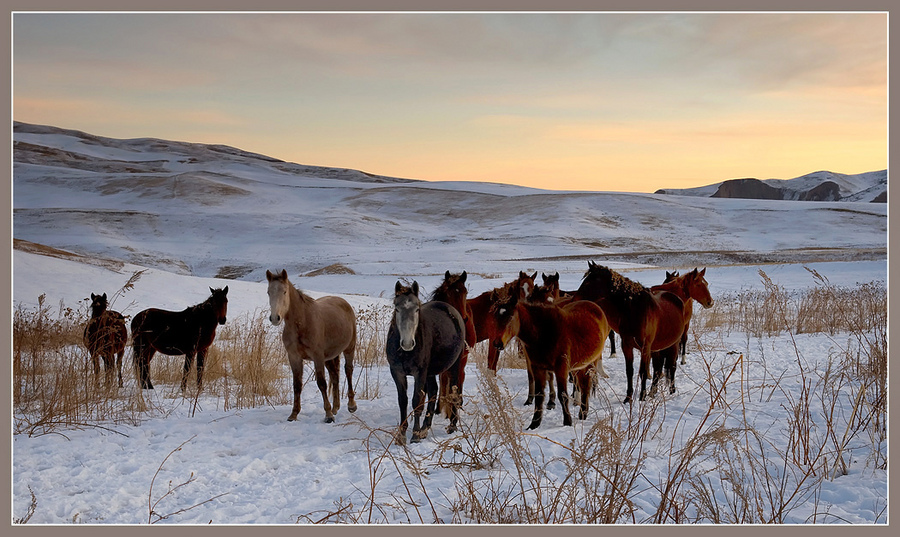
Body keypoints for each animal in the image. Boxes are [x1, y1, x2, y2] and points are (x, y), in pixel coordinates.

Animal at [264, 268, 356, 422]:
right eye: (269, 292)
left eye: (284, 291)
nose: (275, 318)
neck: (303, 322)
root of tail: (343, 302)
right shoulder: (294, 357)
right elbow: (297, 385)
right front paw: (294, 414)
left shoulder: (317, 357)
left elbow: (321, 383)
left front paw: (328, 415)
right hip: (329, 357)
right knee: (335, 376)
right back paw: (336, 407)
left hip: (349, 348)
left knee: (348, 371)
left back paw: (351, 405)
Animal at [384, 280, 464, 444]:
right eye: (397, 309)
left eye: (416, 309)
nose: (407, 343)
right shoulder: (397, 372)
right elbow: (403, 401)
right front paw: (401, 435)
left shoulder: (419, 373)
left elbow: (417, 402)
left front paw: (414, 435)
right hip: (431, 372)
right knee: (433, 392)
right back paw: (425, 428)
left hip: (454, 364)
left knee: (454, 391)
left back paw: (452, 425)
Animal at [492, 286, 612, 430]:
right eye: (494, 318)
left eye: (510, 317)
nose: (497, 344)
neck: (544, 333)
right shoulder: (537, 368)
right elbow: (539, 395)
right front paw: (534, 423)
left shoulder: (561, 368)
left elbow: (563, 395)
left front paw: (567, 422)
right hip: (579, 365)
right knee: (583, 384)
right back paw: (582, 412)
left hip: (589, 363)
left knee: (586, 385)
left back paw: (583, 413)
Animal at [572, 262, 684, 404]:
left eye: (588, 281)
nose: (574, 299)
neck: (635, 310)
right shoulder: (627, 346)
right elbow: (629, 371)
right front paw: (628, 398)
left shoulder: (645, 348)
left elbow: (643, 372)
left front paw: (641, 397)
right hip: (656, 348)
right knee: (658, 369)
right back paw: (652, 392)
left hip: (673, 344)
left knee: (672, 366)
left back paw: (671, 391)